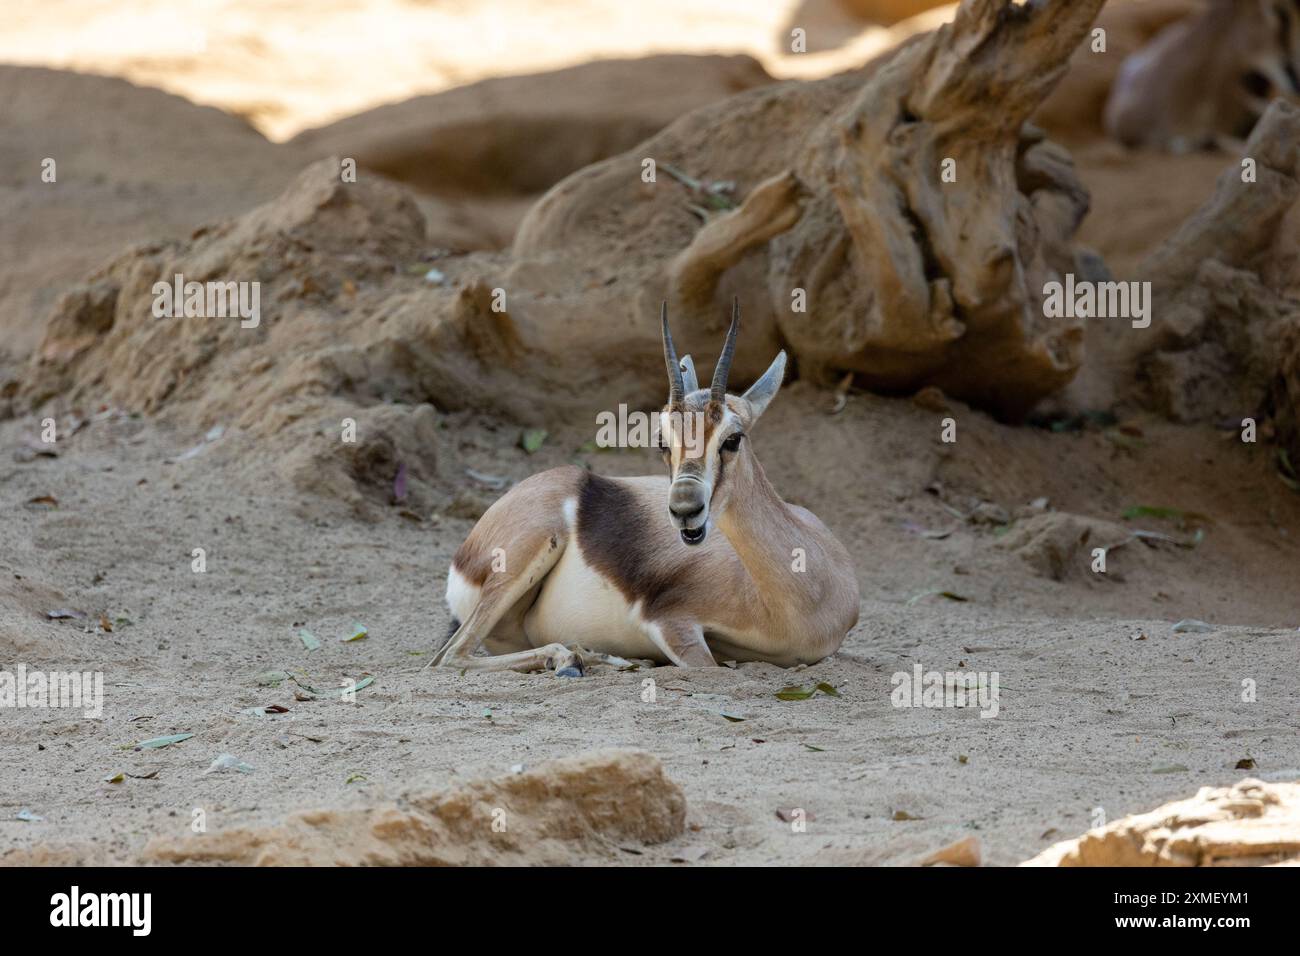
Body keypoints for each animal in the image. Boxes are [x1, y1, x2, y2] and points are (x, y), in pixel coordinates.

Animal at [431, 301, 860, 674]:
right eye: (662, 442)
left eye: (733, 439)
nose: (685, 509)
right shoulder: (668, 621)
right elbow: (710, 667)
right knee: (448, 657)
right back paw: (576, 660)